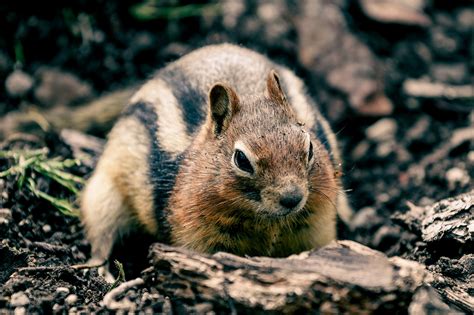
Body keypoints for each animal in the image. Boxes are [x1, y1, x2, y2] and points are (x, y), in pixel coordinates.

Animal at [79, 43, 350, 266]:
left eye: (310, 147)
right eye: (241, 160)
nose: (292, 198)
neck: (266, 221)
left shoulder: (316, 226)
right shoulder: (196, 236)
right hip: (104, 195)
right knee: (101, 235)